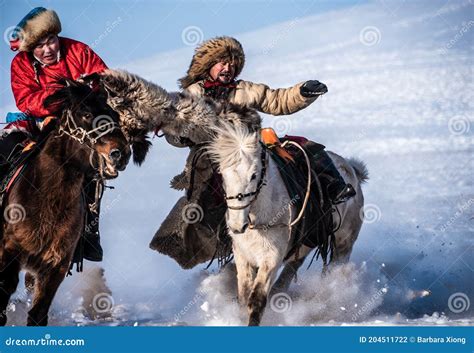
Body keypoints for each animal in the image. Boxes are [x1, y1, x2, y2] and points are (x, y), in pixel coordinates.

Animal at [0, 80, 131, 324]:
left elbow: (38, 314)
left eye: (115, 115)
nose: (121, 153)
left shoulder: (54, 267)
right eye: (86, 113)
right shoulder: (9, 255)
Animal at [209, 122, 368, 326]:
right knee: (288, 274)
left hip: (343, 245)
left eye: (253, 175)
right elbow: (244, 296)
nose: (237, 225)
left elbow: (257, 299)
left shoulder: (272, 257)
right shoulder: (242, 255)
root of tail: (353, 170)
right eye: (222, 174)